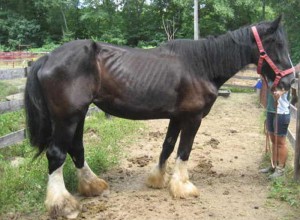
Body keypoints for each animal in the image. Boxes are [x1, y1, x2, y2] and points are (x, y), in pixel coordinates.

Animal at [24, 15, 296, 218]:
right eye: (277, 44)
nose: (290, 82)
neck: (201, 65)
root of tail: (47, 57)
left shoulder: (177, 117)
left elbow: (167, 146)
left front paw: (157, 179)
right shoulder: (193, 118)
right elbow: (184, 151)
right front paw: (183, 187)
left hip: (77, 116)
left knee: (76, 149)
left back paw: (93, 186)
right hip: (67, 117)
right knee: (57, 154)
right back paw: (62, 205)